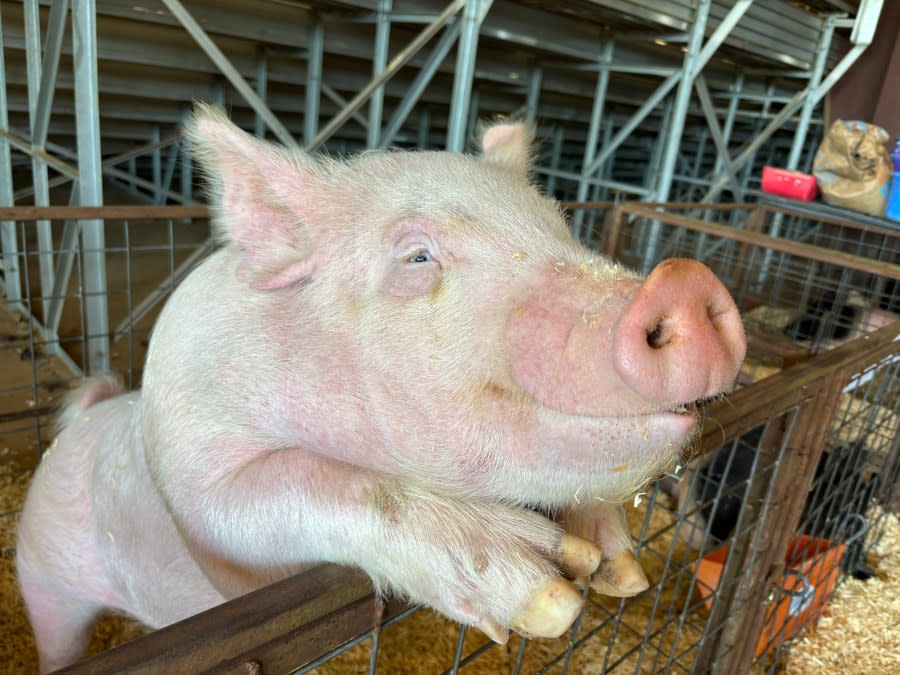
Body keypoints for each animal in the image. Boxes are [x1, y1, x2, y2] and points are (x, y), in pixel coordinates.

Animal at [15, 104, 744, 672]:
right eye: (417, 256)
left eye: (559, 225)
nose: (682, 281)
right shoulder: (200, 488)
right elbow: (309, 486)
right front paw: (554, 590)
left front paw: (617, 575)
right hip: (45, 579)